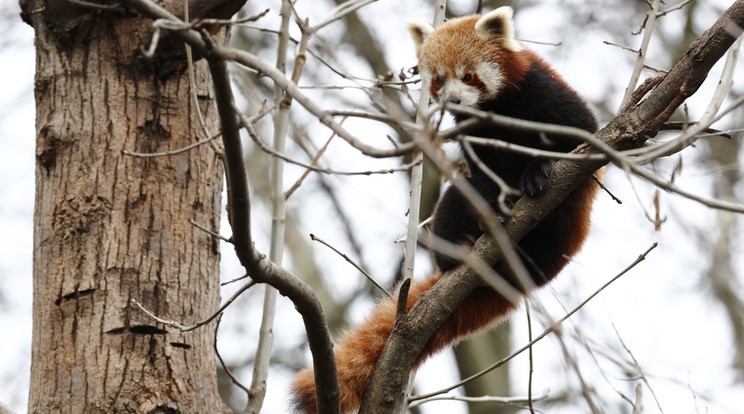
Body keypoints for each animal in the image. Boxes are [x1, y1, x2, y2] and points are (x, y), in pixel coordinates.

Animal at [288, 7, 600, 414]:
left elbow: (579, 133)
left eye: (468, 75)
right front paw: (495, 205)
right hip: (454, 212)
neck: (496, 111)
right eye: (438, 78)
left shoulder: (544, 91)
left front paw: (537, 171)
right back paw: (461, 249)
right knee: (453, 201)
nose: (453, 99)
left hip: (565, 230)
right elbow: (482, 176)